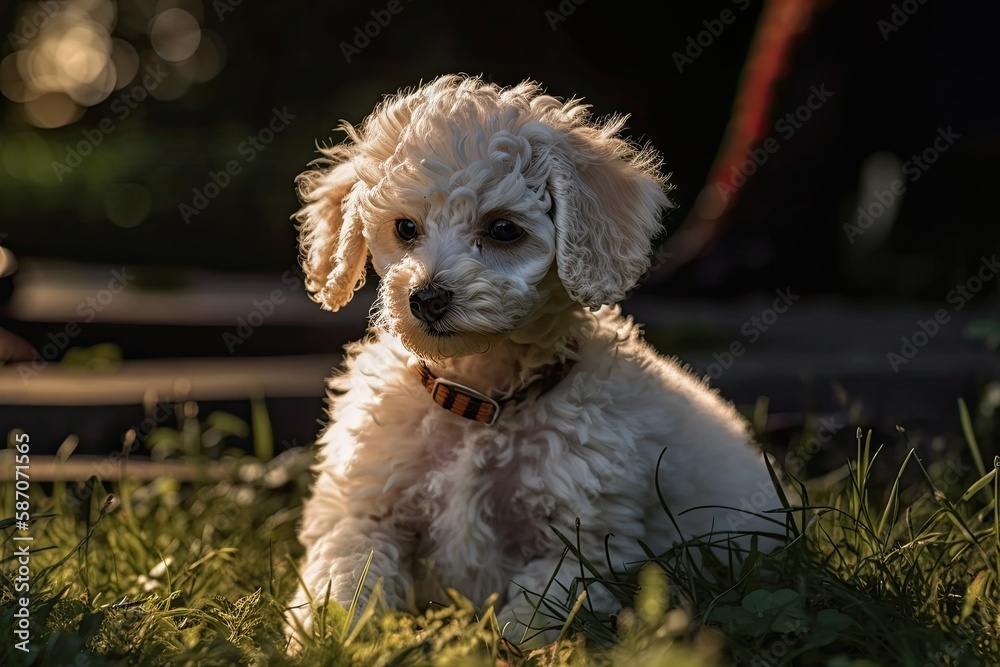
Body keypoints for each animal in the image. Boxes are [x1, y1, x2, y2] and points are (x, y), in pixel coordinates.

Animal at [286, 73, 784, 648]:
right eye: (406, 228)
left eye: (504, 229)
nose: (426, 299)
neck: (479, 399)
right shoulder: (362, 503)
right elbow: (346, 567)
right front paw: (329, 634)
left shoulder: (584, 544)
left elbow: (536, 614)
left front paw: (506, 645)